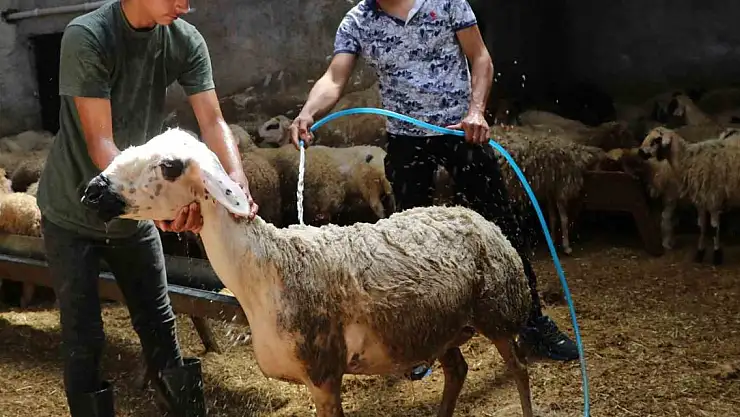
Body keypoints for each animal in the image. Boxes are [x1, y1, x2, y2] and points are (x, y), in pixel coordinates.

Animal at [79, 127, 536, 417]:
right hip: (436, 327)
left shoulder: (324, 375)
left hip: (497, 310)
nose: (93, 191)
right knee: (457, 372)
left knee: (519, 369)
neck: (270, 268)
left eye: (170, 166)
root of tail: (471, 214)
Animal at [637, 126, 740, 265]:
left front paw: (717, 255)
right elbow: (702, 226)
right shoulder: (700, 201)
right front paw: (699, 254)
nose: (640, 152)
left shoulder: (714, 198)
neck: (687, 160)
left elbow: (714, 228)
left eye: (657, 140)